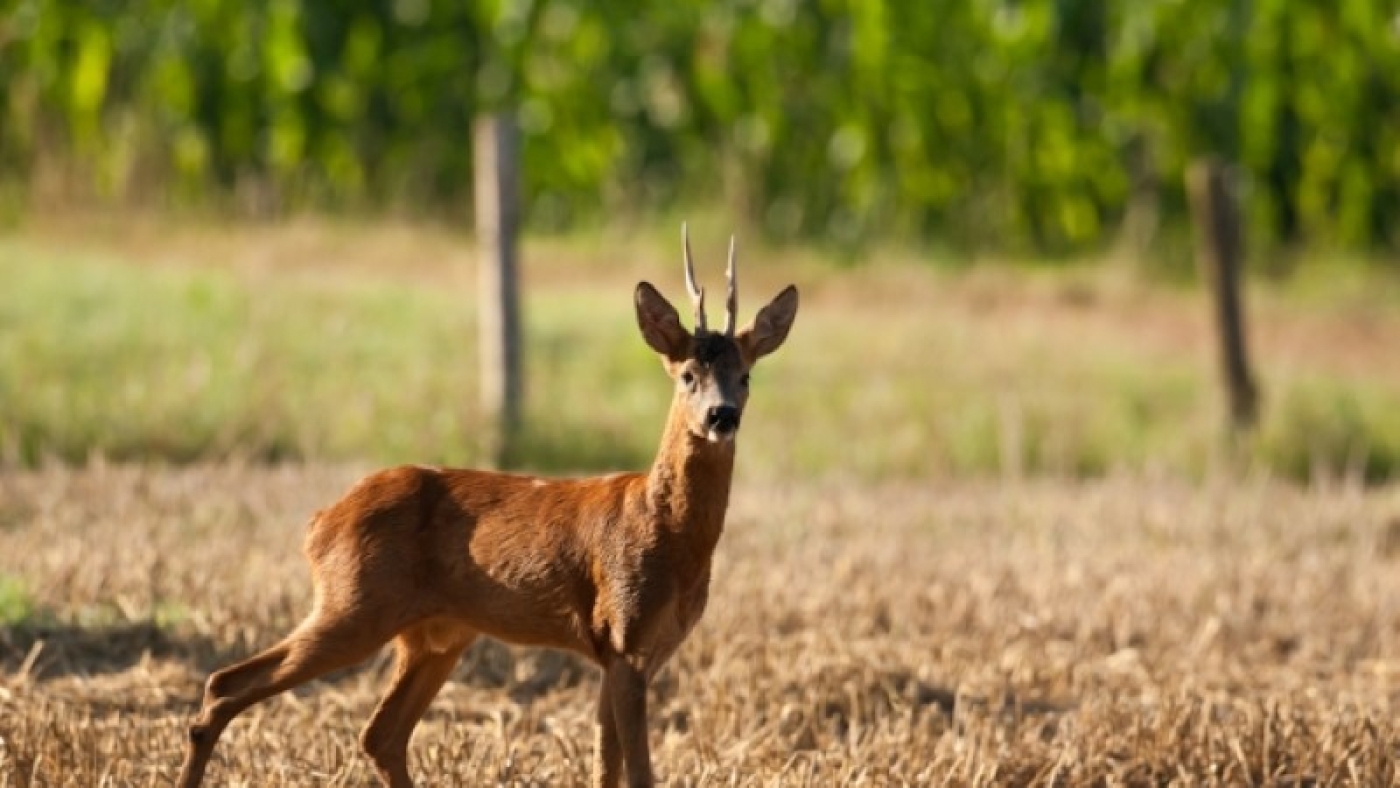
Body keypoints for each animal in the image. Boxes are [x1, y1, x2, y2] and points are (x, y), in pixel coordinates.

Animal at [180, 223, 800, 788]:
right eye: (688, 375)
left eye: (745, 375)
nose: (722, 415)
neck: (664, 533)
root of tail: (319, 522)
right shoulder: (623, 632)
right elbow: (637, 771)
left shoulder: (625, 651)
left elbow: (606, 766)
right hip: (354, 601)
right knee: (227, 685)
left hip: (436, 632)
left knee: (380, 734)